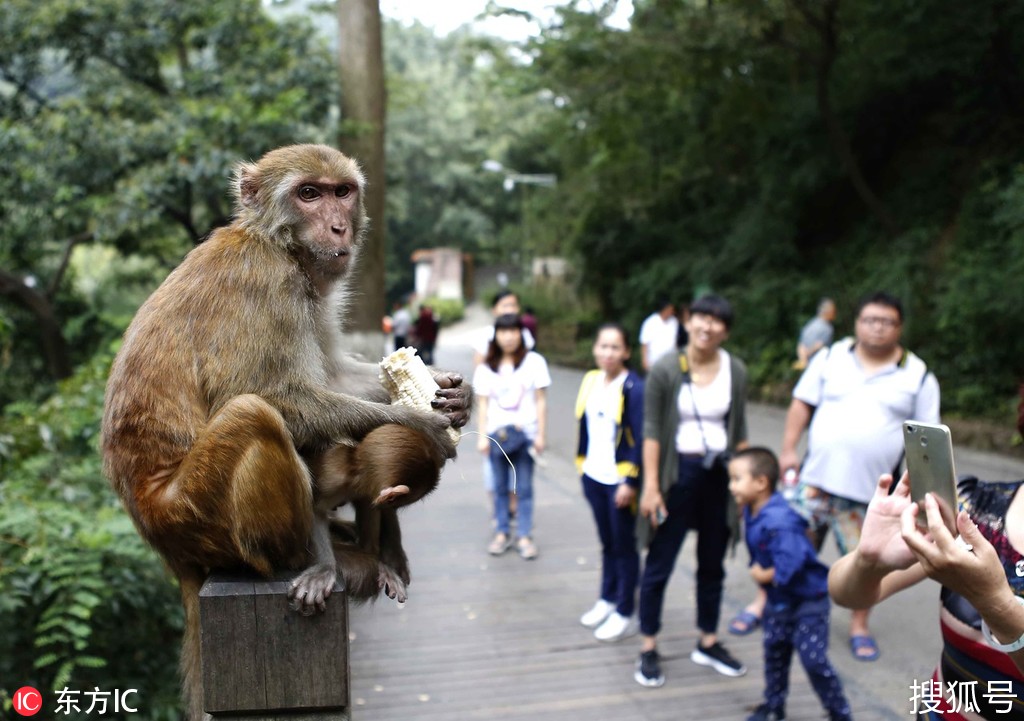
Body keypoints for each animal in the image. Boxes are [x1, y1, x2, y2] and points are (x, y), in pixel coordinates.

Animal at [99, 143, 468, 716]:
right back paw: (323, 561)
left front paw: (452, 390)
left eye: (342, 192)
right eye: (308, 194)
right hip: (194, 516)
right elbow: (272, 397)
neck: (277, 245)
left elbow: (333, 376)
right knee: (252, 413)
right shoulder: (266, 285)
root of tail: (166, 549)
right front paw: (421, 421)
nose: (338, 226)